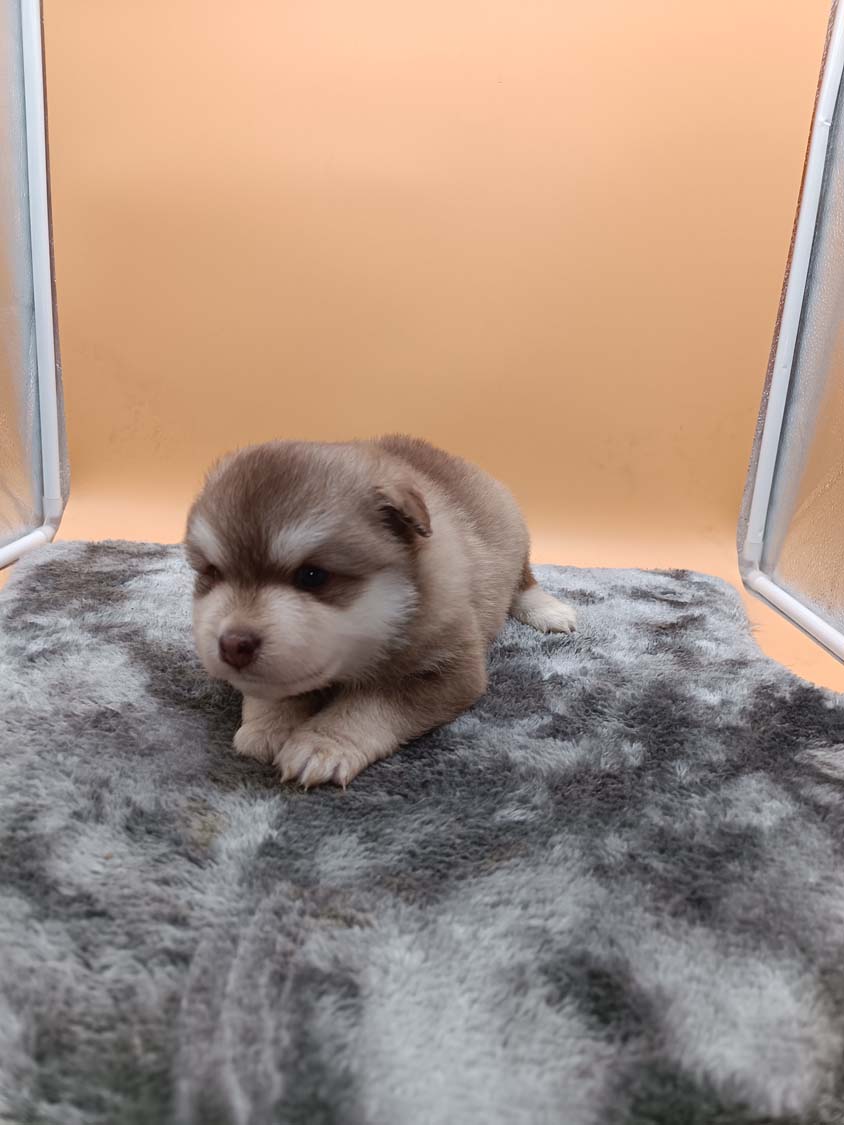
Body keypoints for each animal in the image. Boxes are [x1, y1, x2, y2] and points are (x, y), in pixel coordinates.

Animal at [185, 435, 576, 787]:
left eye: (312, 576)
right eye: (213, 573)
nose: (233, 644)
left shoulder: (447, 668)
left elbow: (368, 706)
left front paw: (321, 744)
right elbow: (275, 688)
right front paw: (268, 725)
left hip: (515, 537)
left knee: (524, 580)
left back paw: (550, 611)